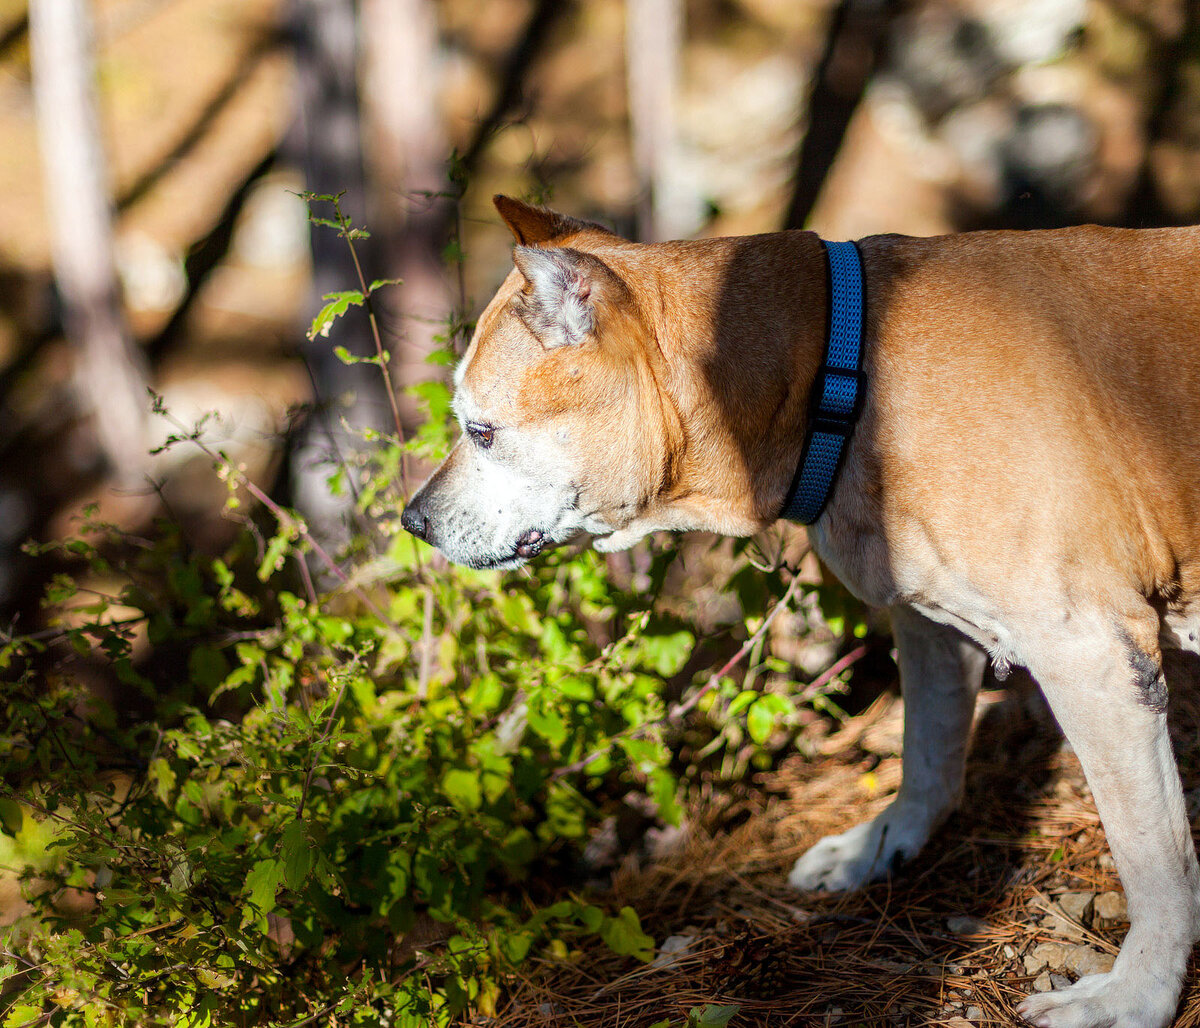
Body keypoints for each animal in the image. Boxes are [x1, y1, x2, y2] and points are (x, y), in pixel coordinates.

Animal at [400, 194, 1200, 1026]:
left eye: (481, 430)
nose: (412, 521)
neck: (834, 376)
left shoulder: (1094, 658)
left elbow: (1155, 857)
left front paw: (1139, 992)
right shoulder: (929, 626)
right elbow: (928, 750)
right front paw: (882, 845)